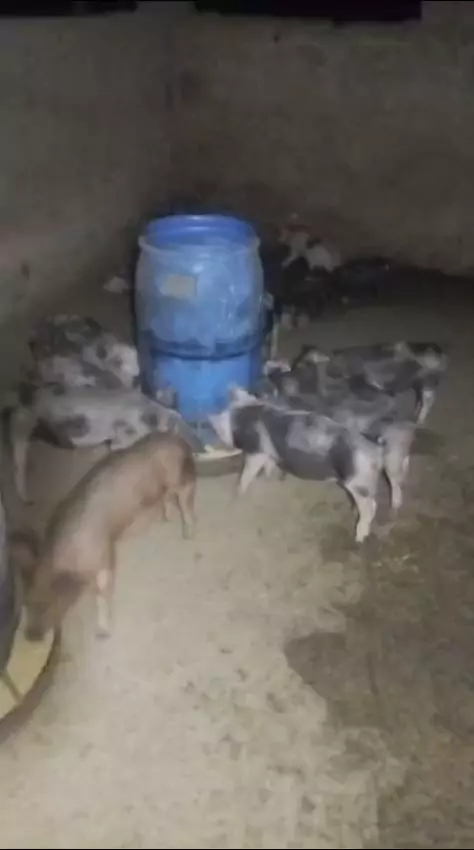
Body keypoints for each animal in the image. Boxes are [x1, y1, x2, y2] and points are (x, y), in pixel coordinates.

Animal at [10, 385, 204, 503]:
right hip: (34, 429)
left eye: (183, 418)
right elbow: (120, 447)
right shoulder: (124, 435)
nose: (201, 447)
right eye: (173, 426)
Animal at [24, 431, 197, 642]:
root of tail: (179, 439)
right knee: (166, 498)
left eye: (49, 607)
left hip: (178, 477)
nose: (30, 636)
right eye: (26, 604)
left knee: (185, 496)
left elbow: (103, 592)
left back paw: (188, 533)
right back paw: (166, 518)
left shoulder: (104, 555)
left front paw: (103, 632)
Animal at [209, 387, 415, 543]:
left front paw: (238, 495)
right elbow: (269, 466)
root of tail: (376, 446)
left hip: (357, 479)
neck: (249, 414)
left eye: (220, 430)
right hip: (386, 467)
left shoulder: (256, 451)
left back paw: (358, 538)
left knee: (371, 505)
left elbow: (246, 474)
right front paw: (268, 479)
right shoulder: (268, 453)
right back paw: (387, 508)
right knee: (396, 484)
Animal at [292, 341, 448, 425]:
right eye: (298, 359)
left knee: (427, 402)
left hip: (428, 384)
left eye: (303, 363)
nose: (292, 368)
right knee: (421, 400)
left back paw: (418, 420)